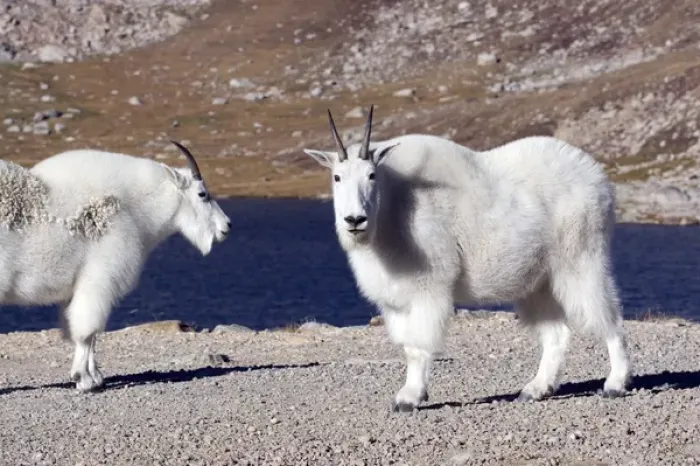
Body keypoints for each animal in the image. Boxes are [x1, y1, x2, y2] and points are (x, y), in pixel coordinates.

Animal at [0, 142, 231, 391]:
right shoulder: (100, 278)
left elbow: (84, 331)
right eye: (202, 194)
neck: (135, 207)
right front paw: (84, 379)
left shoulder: (79, 288)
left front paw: (95, 376)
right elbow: (87, 331)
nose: (227, 226)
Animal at [303, 106, 632, 411]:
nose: (354, 219)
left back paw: (616, 382)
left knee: (609, 318)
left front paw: (410, 398)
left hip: (581, 258)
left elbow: (418, 346)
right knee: (556, 334)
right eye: (336, 177)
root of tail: (599, 179)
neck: (392, 208)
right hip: (539, 280)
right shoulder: (394, 299)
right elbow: (406, 345)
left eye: (371, 175)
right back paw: (536, 389)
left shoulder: (429, 287)